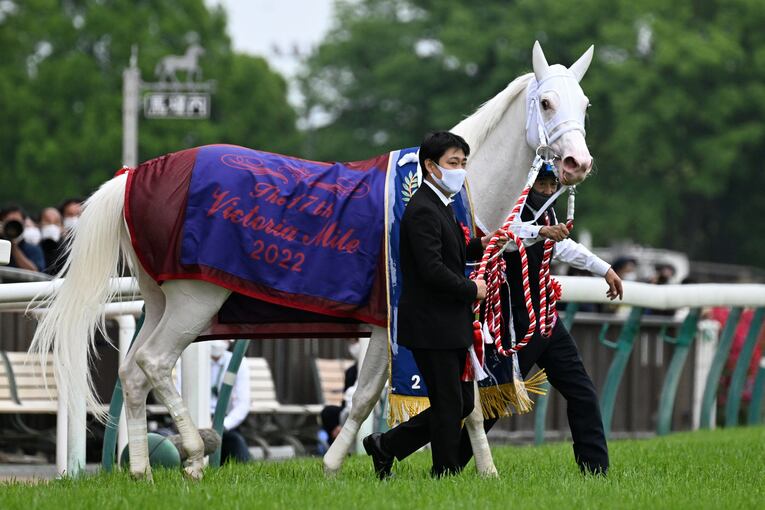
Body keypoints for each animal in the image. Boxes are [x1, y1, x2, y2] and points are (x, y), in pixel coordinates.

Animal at [30, 41, 595, 481]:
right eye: (546, 102)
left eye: (584, 103)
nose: (577, 163)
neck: (449, 192)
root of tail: (136, 175)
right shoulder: (397, 319)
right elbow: (375, 395)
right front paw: (341, 461)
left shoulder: (436, 322)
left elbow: (453, 402)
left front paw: (484, 470)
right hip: (196, 299)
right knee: (154, 362)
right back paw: (191, 453)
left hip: (160, 298)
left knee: (132, 372)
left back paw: (143, 469)